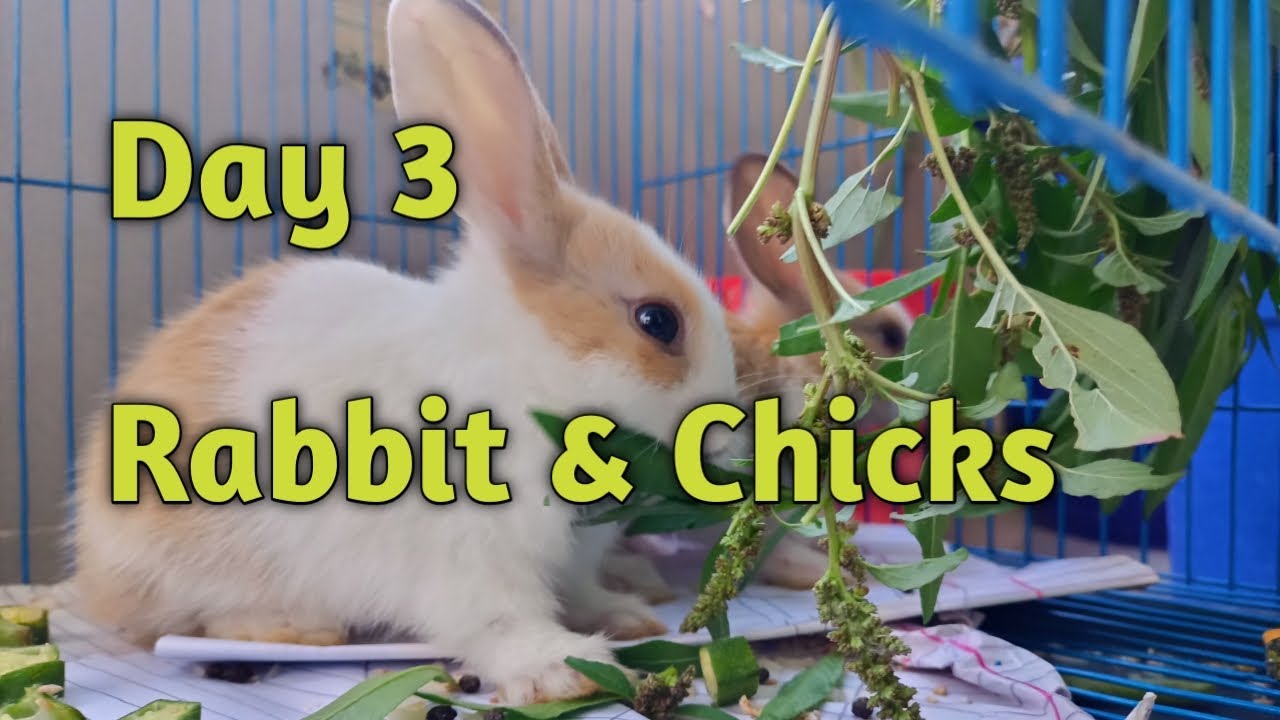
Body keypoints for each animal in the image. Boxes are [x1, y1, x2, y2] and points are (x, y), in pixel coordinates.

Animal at [67, 0, 749, 705]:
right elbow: (500, 621)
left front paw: (625, 618)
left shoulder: (568, 558)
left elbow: (579, 591)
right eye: (657, 321)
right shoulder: (467, 556)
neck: (525, 374)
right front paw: (567, 670)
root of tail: (92, 568)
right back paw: (297, 631)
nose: (729, 438)